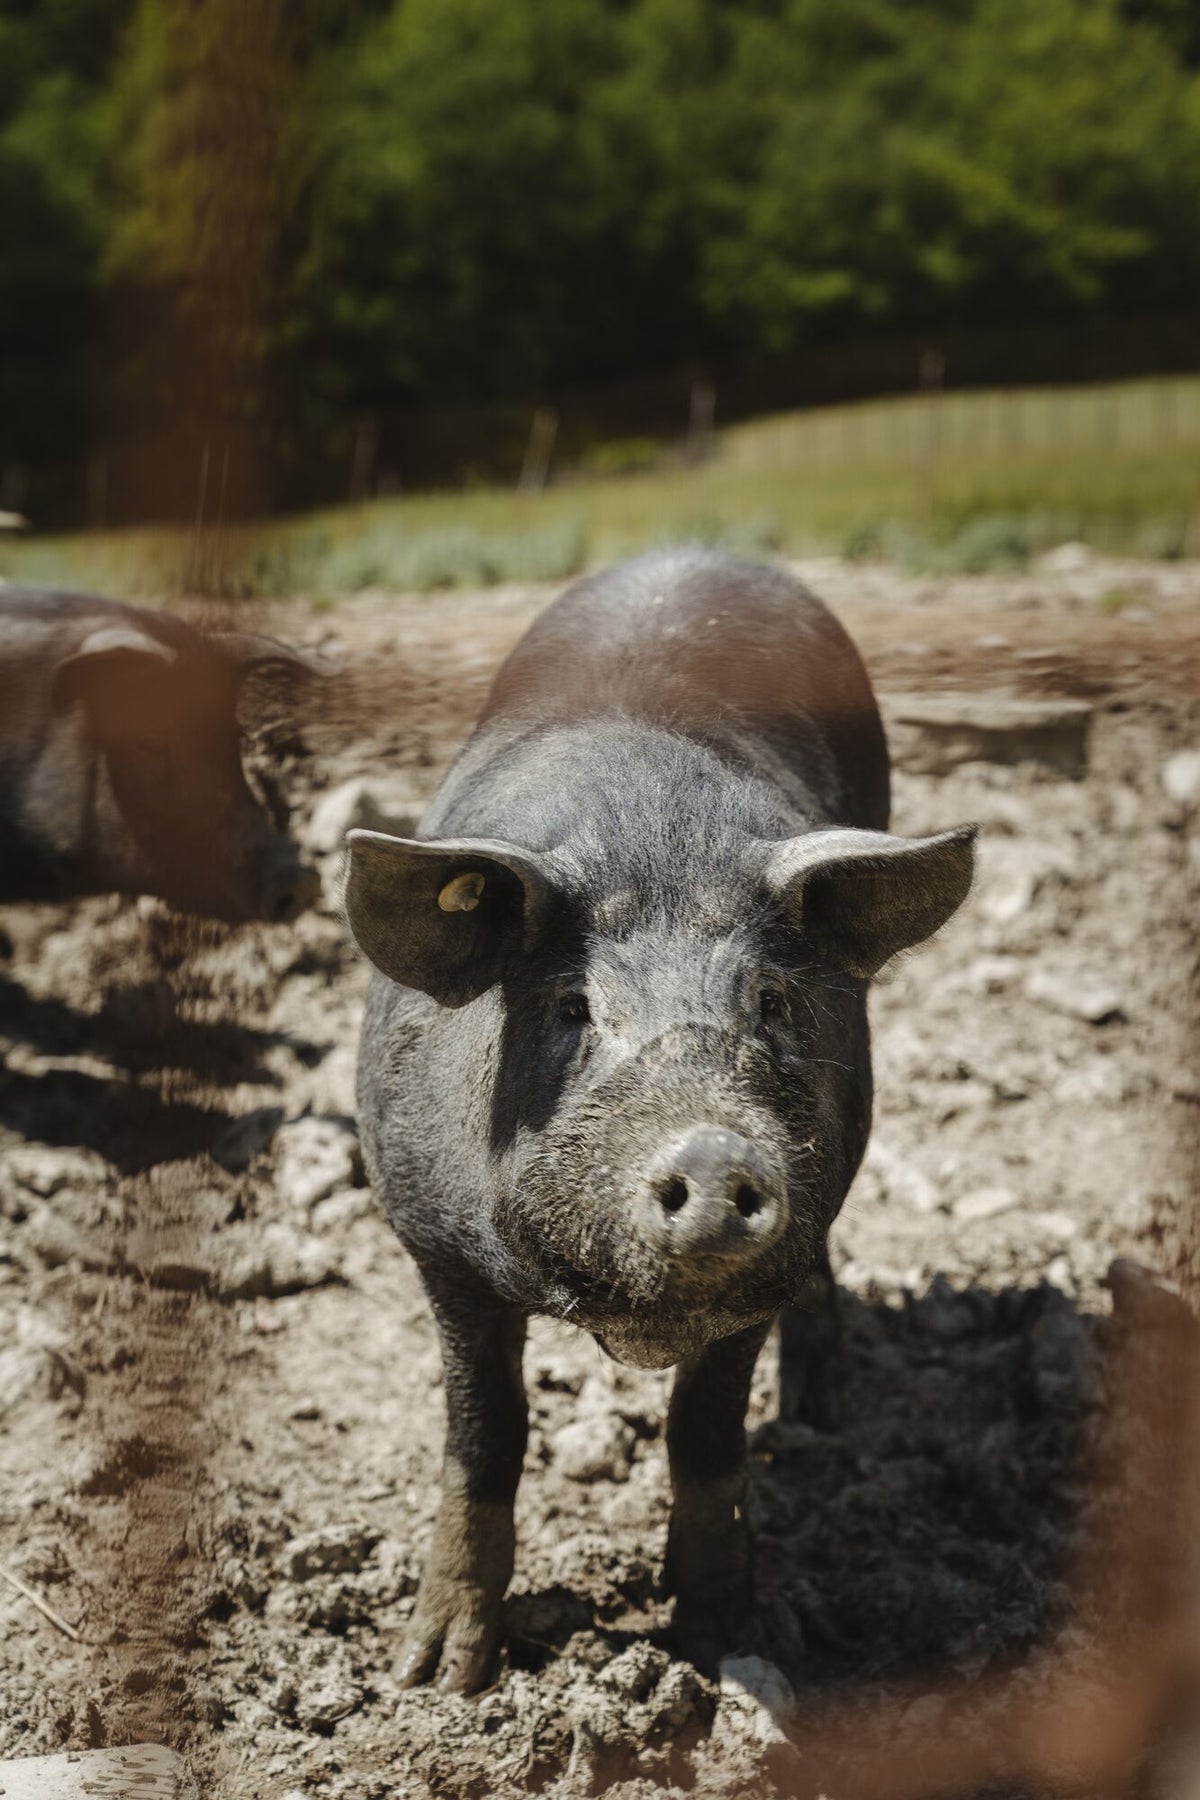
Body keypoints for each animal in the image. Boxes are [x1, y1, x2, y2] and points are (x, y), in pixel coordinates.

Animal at [345, 547, 975, 1691]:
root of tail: (703, 552)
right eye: (572, 1008)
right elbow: (486, 1433)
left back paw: (821, 1411)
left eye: (771, 1000)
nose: (717, 1152)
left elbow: (705, 1433)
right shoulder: (434, 1246)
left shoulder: (759, 1283)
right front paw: (434, 1676)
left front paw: (728, 1643)